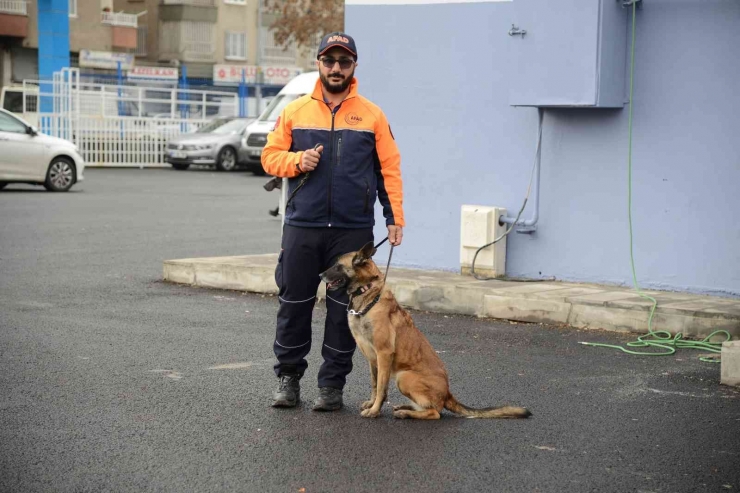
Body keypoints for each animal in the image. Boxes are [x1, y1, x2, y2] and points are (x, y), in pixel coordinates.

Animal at [318, 241, 532, 418]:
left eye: (338, 266)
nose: (320, 275)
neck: (369, 295)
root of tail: (447, 394)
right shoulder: (373, 359)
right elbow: (375, 383)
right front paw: (372, 404)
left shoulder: (383, 354)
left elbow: (381, 388)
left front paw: (375, 410)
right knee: (427, 407)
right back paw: (405, 408)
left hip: (404, 377)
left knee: (435, 412)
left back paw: (406, 413)